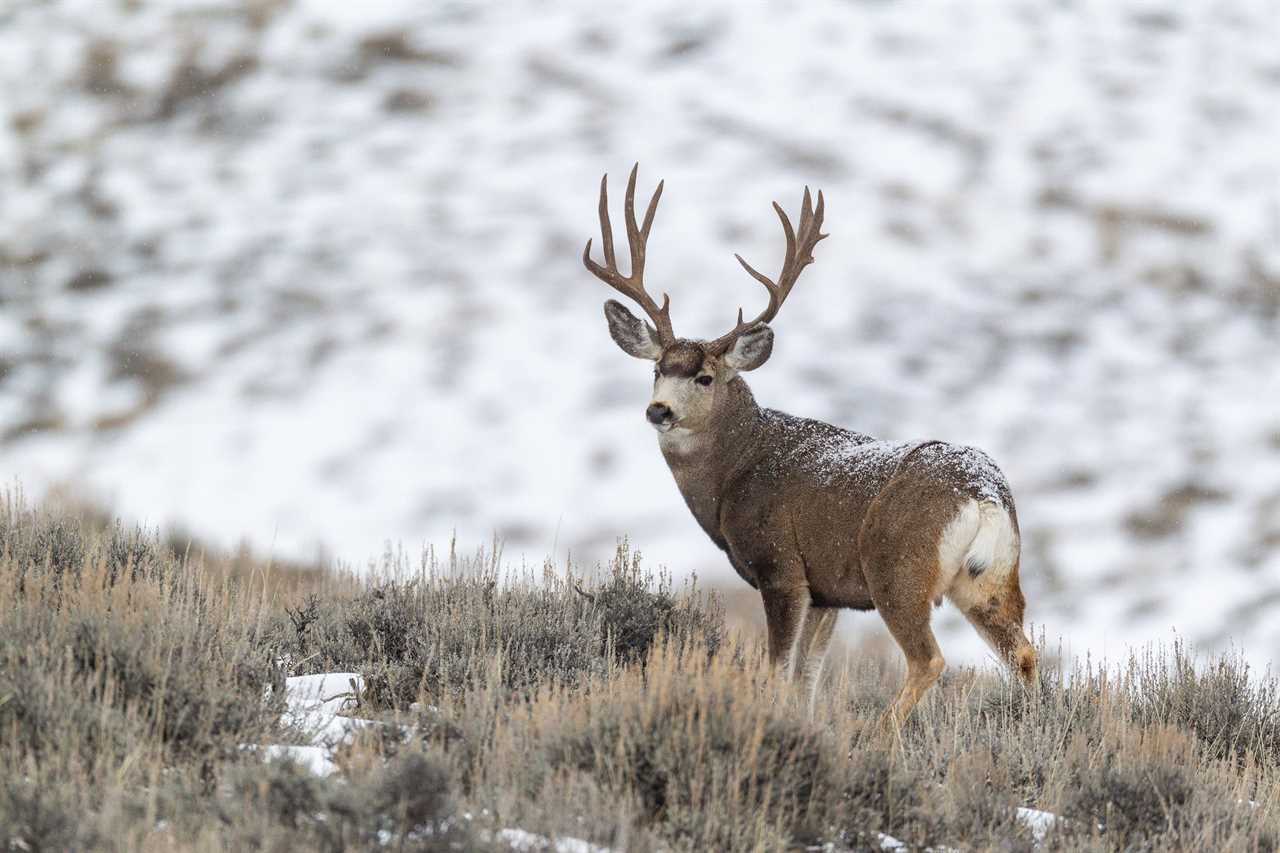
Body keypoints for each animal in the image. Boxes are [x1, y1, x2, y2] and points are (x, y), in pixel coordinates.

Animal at [581, 162, 1039, 722]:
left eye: (705, 377)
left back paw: (880, 734)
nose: (658, 410)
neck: (736, 470)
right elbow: (807, 678)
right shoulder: (828, 592)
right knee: (1023, 654)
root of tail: (982, 493)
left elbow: (778, 671)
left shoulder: (781, 568)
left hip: (897, 569)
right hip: (989, 579)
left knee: (929, 659)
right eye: (656, 370)